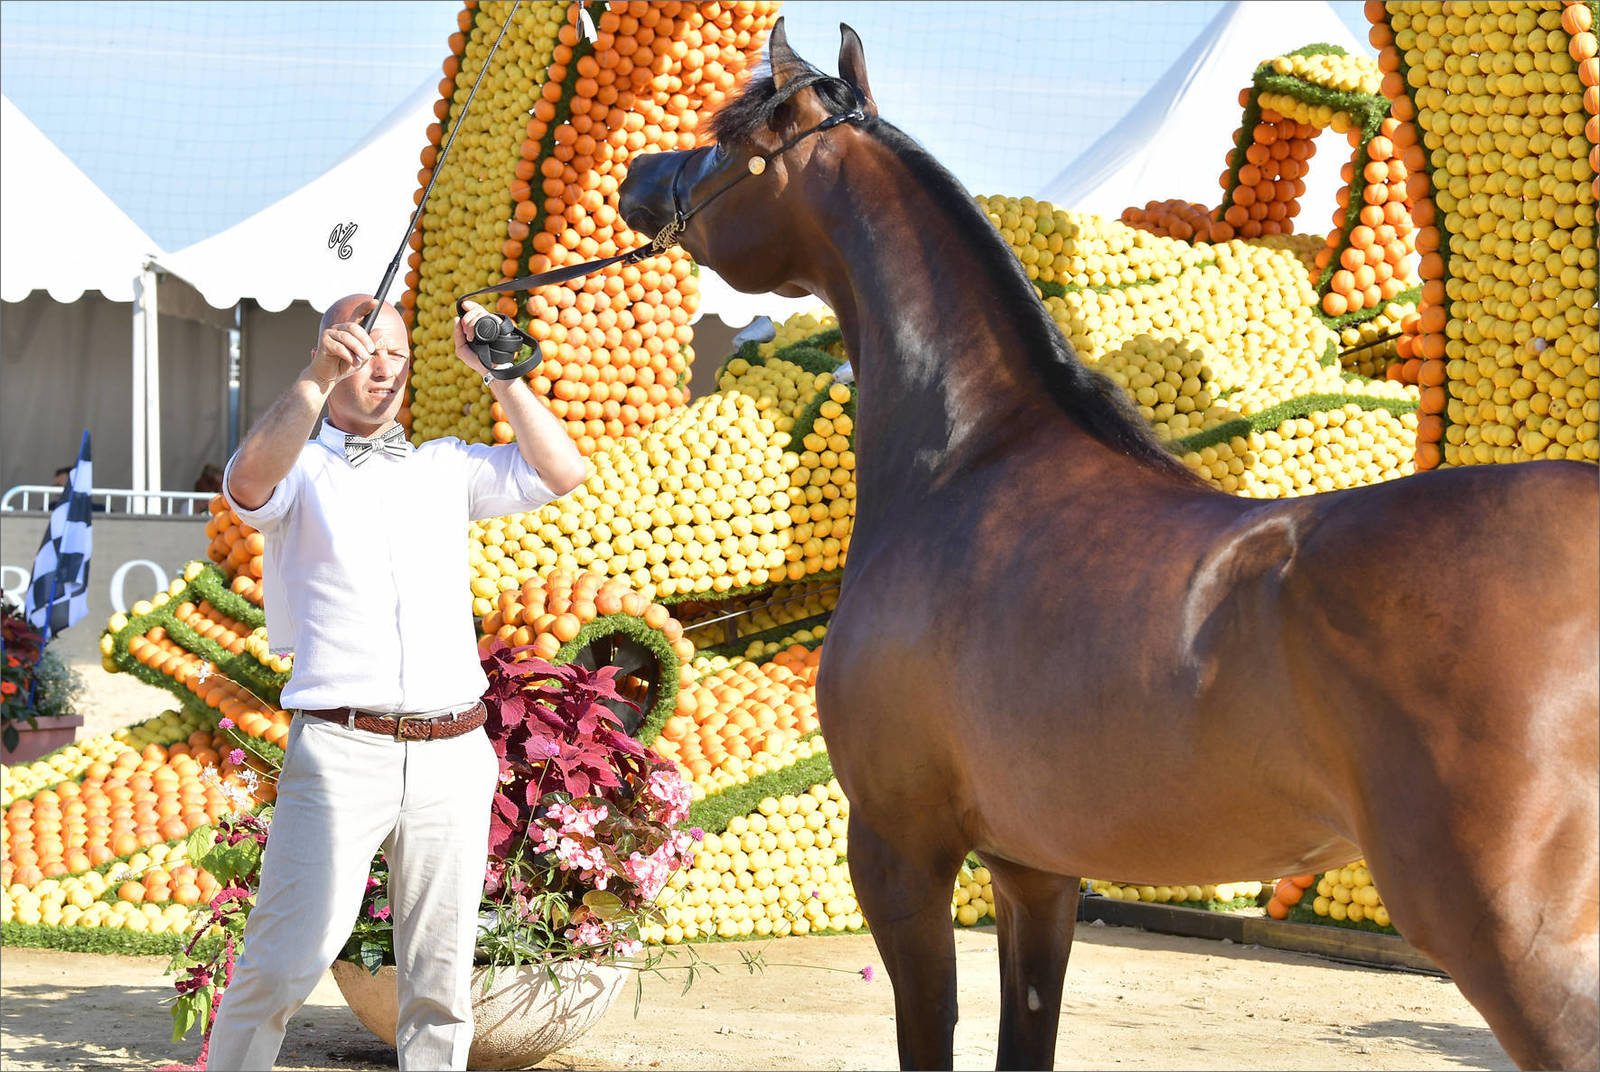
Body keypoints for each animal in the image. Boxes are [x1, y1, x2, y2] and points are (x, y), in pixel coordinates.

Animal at [619, 21, 1599, 1071]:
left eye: (727, 140)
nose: (639, 176)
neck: (969, 458)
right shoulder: (1036, 871)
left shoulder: (899, 850)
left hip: (1515, 942)